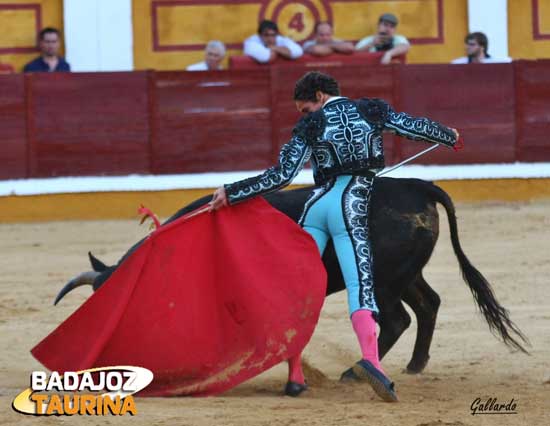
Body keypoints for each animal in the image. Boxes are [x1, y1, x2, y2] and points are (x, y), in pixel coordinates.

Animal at [56, 176, 532, 372]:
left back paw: (356, 372)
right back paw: (415, 365)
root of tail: (417, 186)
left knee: (397, 318)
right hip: (406, 272)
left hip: (381, 277)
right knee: (428, 304)